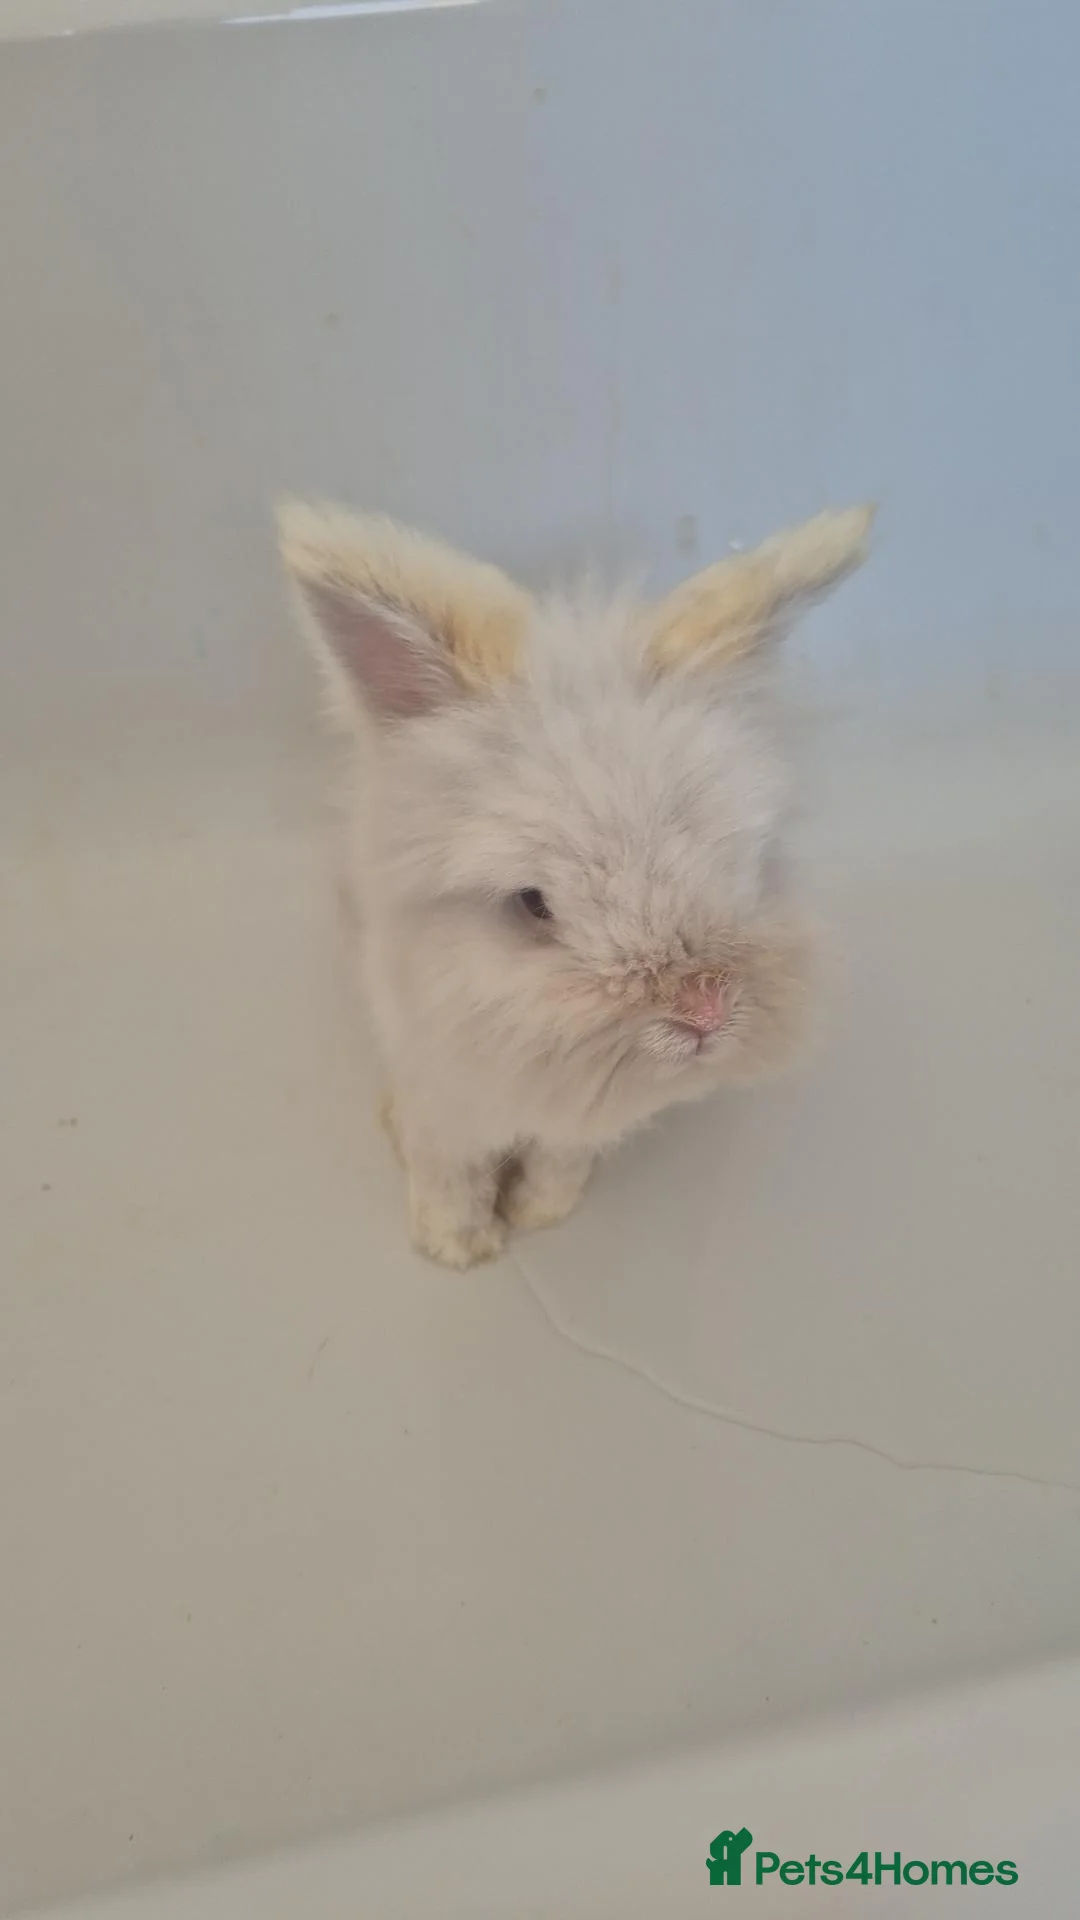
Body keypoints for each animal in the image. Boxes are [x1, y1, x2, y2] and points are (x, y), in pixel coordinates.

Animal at [279, 500, 873, 1268]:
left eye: (744, 860)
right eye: (534, 904)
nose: (706, 1011)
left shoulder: (570, 1127)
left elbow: (559, 1160)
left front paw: (540, 1214)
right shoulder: (440, 1097)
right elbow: (448, 1173)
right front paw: (458, 1249)